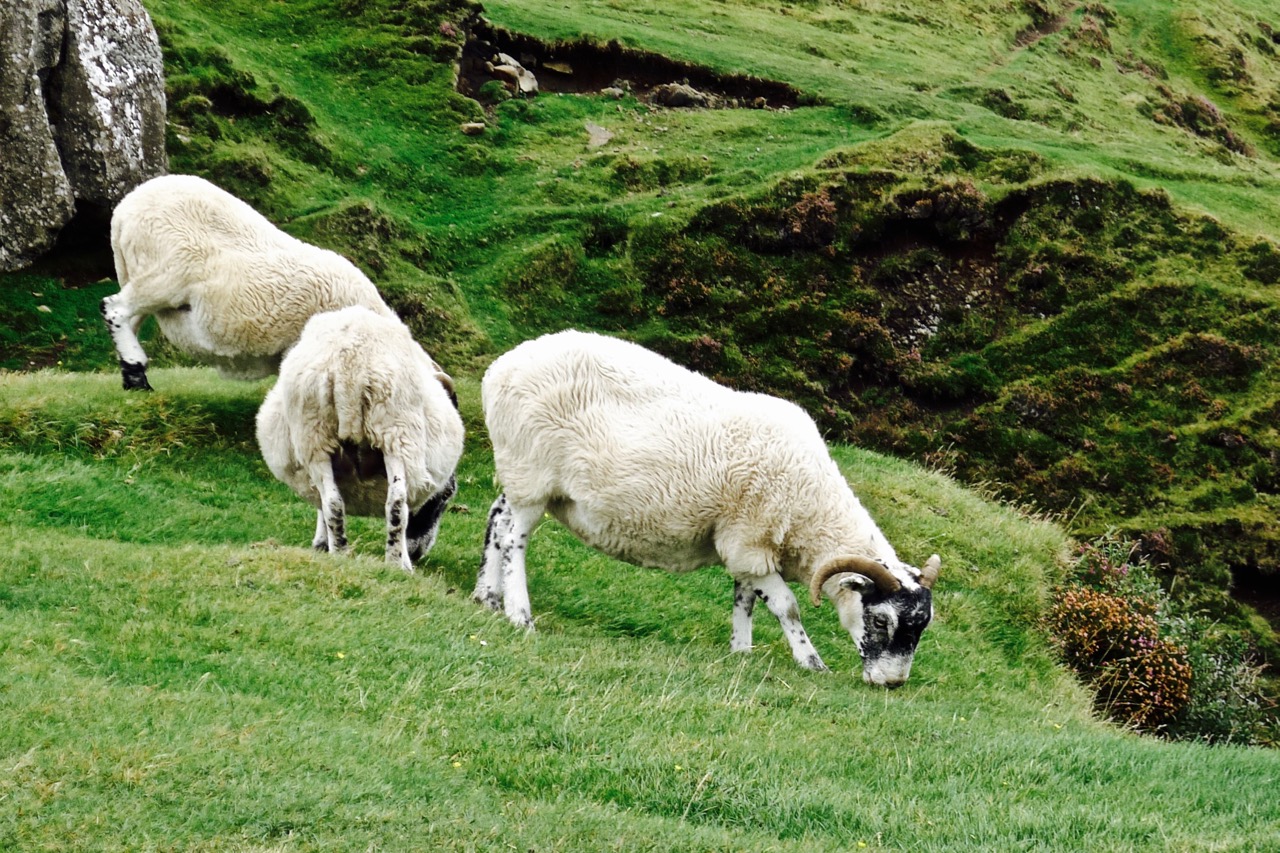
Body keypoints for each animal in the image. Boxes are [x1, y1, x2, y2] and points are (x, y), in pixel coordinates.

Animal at [101, 174, 394, 391]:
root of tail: (124, 209)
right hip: (168, 270)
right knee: (114, 308)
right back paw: (136, 372)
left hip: (135, 271)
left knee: (129, 318)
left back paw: (132, 377)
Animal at [254, 302, 465, 568]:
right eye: (447, 495)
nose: (417, 552)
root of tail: (349, 364)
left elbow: (322, 503)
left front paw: (321, 544)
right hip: (396, 432)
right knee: (397, 502)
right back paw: (397, 563)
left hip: (314, 436)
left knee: (333, 502)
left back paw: (341, 553)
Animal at [478, 326, 942, 686]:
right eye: (880, 620)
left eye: (922, 626)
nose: (892, 683)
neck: (811, 507)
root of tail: (499, 368)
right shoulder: (748, 542)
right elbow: (786, 605)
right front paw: (812, 663)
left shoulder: (749, 544)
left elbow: (745, 599)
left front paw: (741, 651)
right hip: (532, 469)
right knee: (514, 538)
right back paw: (520, 614)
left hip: (519, 472)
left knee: (496, 519)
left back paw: (486, 597)